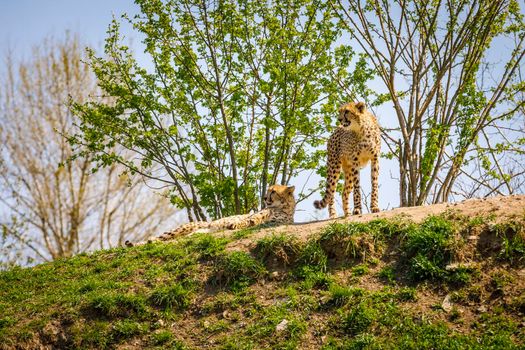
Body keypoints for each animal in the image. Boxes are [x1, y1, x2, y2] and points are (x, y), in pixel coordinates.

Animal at [124, 183, 292, 246]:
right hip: (181, 229)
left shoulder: (275, 222)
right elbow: (247, 220)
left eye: (273, 191)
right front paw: (234, 224)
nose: (264, 198)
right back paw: (136, 243)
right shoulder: (255, 217)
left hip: (195, 233)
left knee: (172, 240)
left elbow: (256, 222)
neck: (284, 207)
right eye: (268, 190)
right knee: (161, 238)